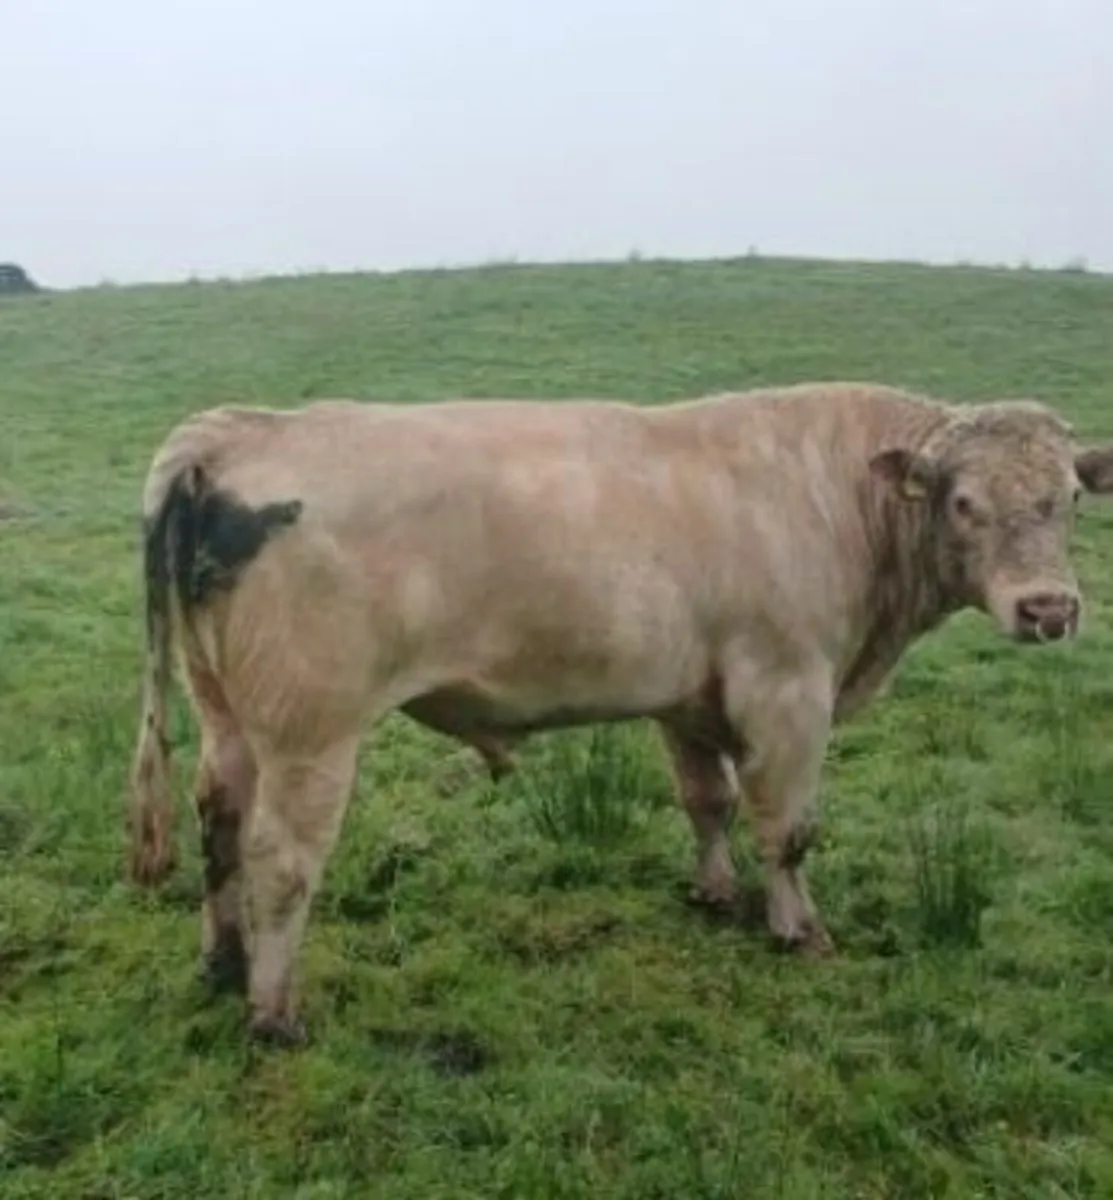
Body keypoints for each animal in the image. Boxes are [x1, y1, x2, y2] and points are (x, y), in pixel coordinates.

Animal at [126, 382, 1113, 1046]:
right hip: (310, 732)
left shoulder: (689, 696)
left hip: (226, 715)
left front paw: (715, 893)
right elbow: (787, 828)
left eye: (1068, 499)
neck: (829, 496)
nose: (1048, 609)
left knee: (220, 823)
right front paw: (799, 929)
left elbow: (707, 801)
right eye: (963, 501)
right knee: (280, 858)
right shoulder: (788, 690)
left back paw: (222, 963)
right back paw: (272, 1011)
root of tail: (239, 428)